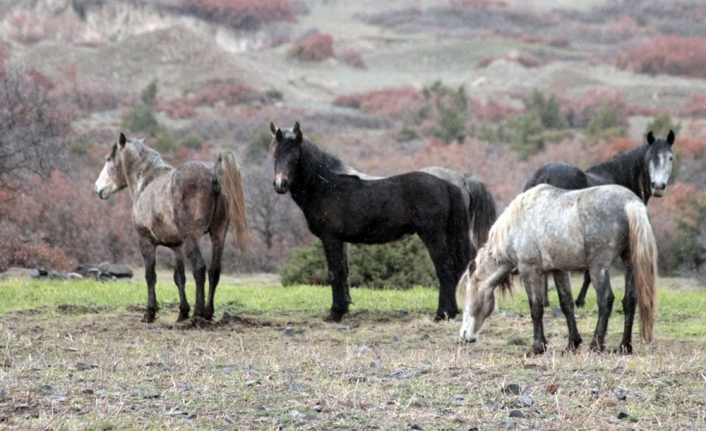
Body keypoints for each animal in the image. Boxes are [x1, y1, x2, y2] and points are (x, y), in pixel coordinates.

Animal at [93, 134, 248, 324]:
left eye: (108, 158)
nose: (98, 187)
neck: (147, 182)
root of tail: (213, 175)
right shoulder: (177, 247)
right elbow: (179, 277)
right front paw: (182, 312)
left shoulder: (145, 241)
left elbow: (150, 275)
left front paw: (150, 312)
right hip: (218, 234)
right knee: (214, 270)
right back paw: (208, 312)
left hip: (192, 239)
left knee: (199, 268)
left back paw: (198, 313)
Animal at [270, 121, 472, 320]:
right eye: (274, 154)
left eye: (295, 156)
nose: (280, 184)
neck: (326, 187)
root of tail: (446, 184)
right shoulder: (341, 241)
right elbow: (343, 272)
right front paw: (343, 308)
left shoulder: (330, 238)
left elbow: (334, 272)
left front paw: (335, 313)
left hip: (432, 236)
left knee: (445, 268)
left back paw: (442, 314)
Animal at [456, 184, 656, 356]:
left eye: (467, 295)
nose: (464, 335)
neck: (516, 225)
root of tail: (630, 203)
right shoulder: (559, 270)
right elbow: (566, 304)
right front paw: (572, 343)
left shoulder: (530, 270)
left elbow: (536, 307)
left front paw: (538, 347)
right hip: (629, 264)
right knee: (629, 300)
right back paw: (624, 346)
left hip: (598, 268)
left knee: (605, 300)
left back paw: (595, 345)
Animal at [524, 130, 672, 308]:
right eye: (651, 157)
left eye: (670, 158)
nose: (658, 186)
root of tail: (542, 176)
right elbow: (589, 273)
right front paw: (580, 300)